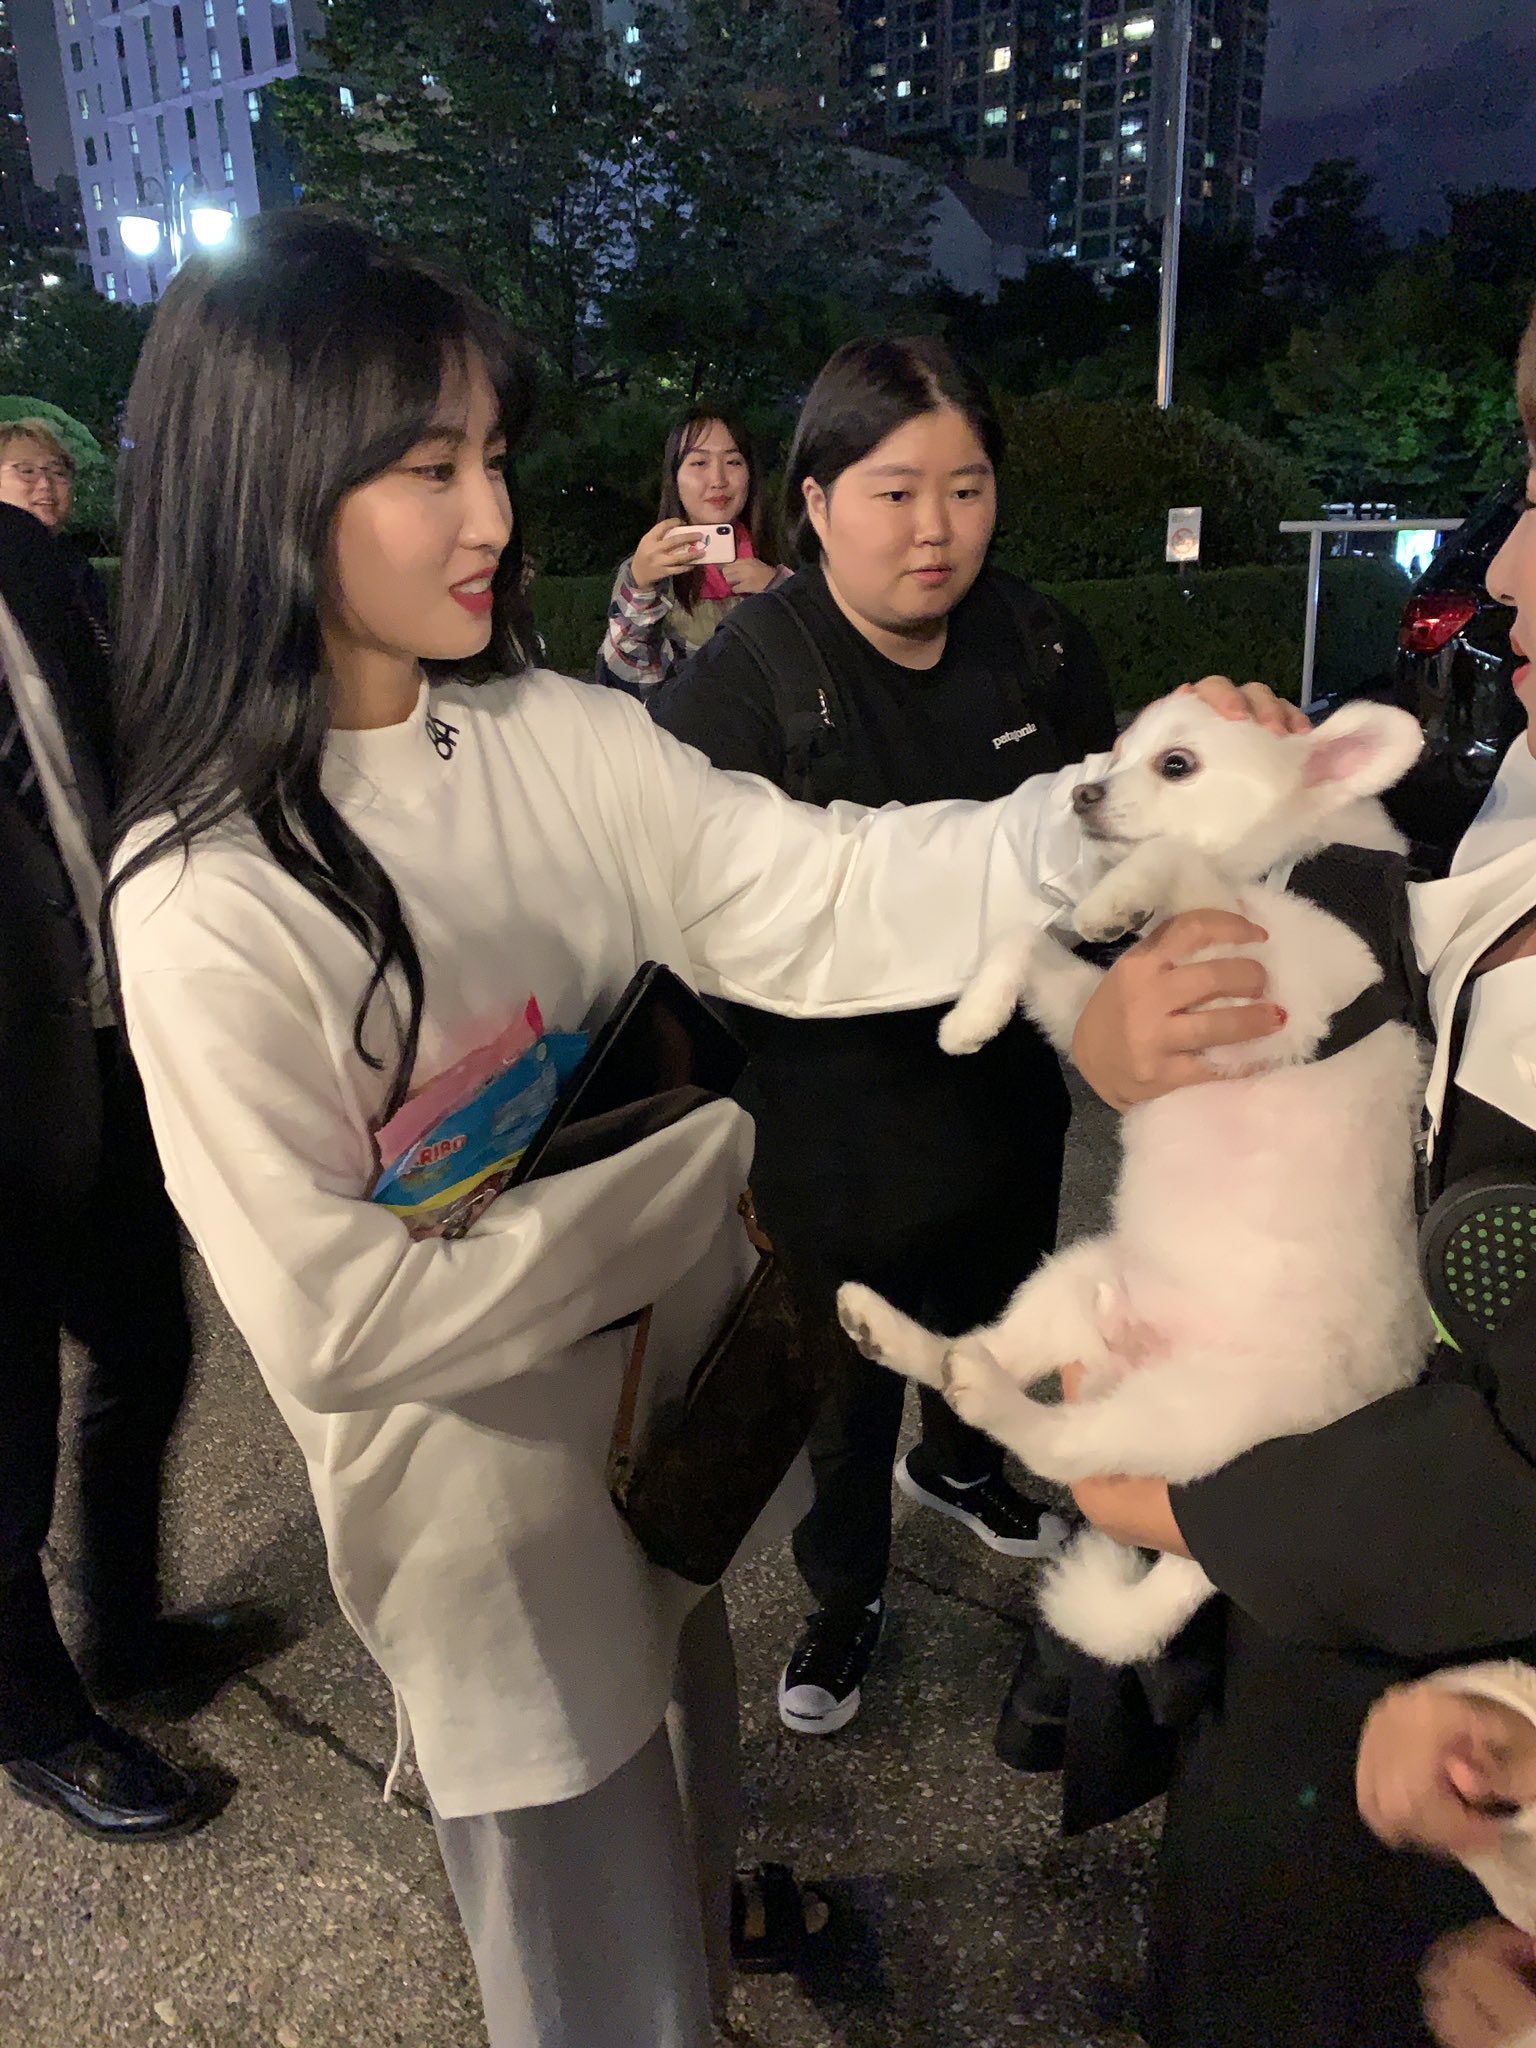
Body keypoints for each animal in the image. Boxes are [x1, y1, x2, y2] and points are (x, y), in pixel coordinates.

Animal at [837, 695, 1434, 1665]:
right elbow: (1023, 939)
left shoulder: (1272, 1001)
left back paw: (989, 1395)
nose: (1081, 793)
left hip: (1186, 1411)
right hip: (1069, 1280)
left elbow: (1180, 865)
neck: (1276, 869)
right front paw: (972, 1017)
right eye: (1114, 754)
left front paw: (1116, 897)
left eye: (1176, 764)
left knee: (1061, 1445)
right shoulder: (1116, 1014)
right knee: (984, 1350)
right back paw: (895, 1333)